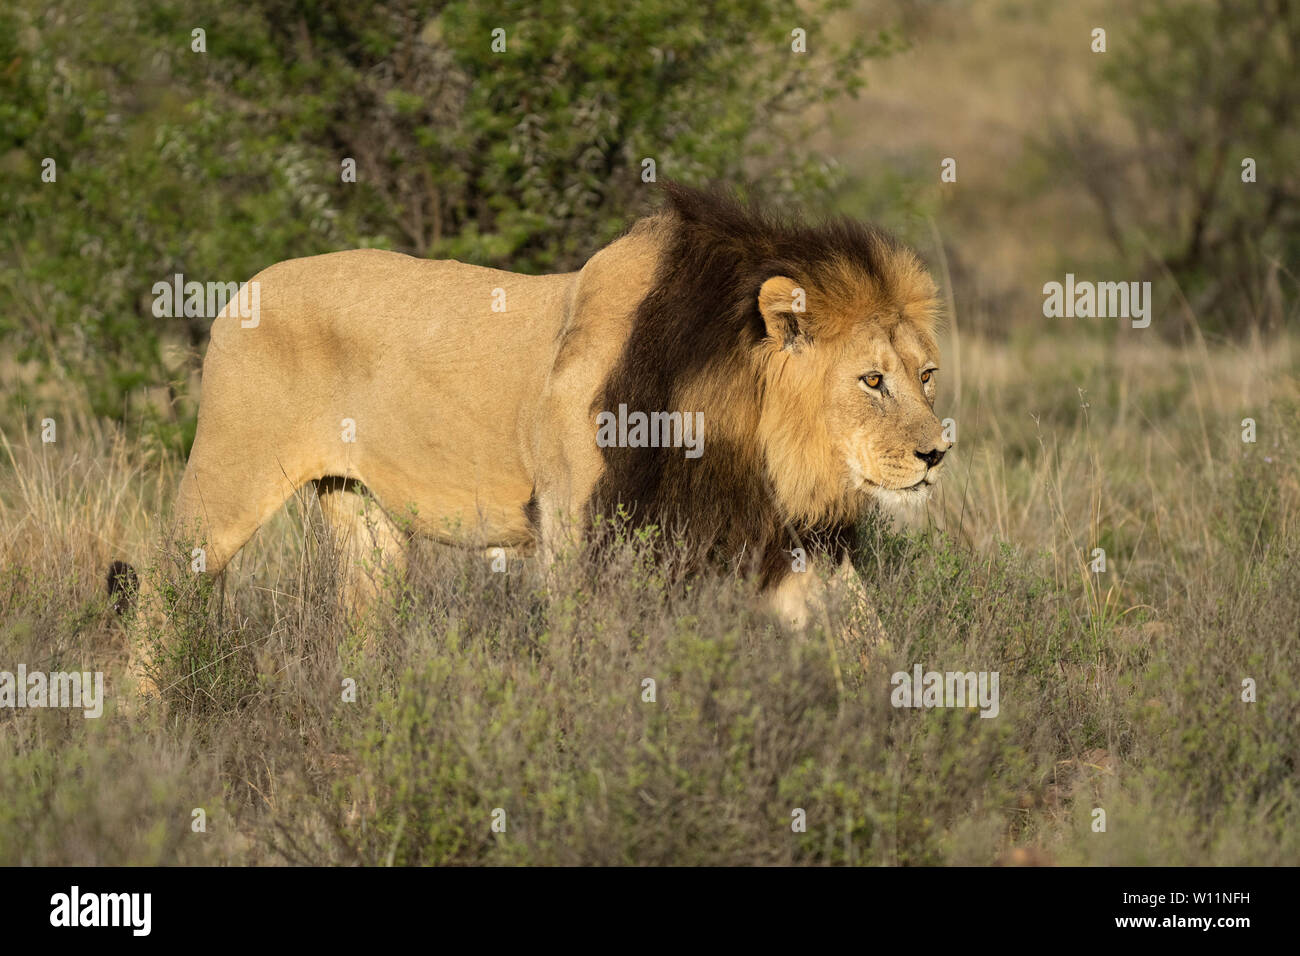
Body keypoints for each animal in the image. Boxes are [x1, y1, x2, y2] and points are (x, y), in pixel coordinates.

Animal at [113, 183, 949, 691]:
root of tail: (242, 290)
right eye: (871, 382)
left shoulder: (783, 538)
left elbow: (868, 638)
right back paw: (138, 726)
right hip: (226, 481)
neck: (741, 438)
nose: (937, 453)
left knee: (363, 614)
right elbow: (595, 657)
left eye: (927, 375)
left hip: (364, 518)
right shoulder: (583, 532)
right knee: (161, 588)